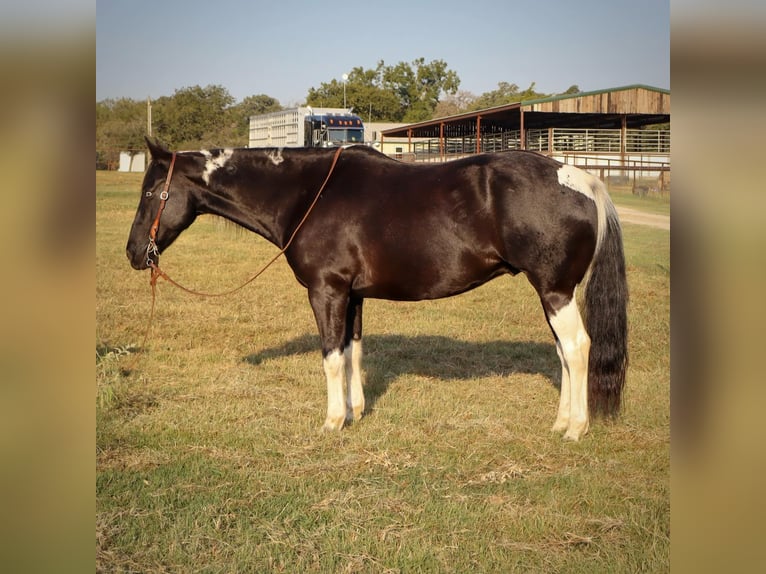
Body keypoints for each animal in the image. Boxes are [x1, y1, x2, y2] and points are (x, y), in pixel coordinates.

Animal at [126, 138, 628, 441]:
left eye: (151, 193)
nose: (134, 253)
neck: (309, 194)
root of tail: (583, 180)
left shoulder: (326, 292)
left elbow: (331, 357)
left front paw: (332, 421)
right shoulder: (353, 296)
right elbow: (353, 352)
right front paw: (356, 411)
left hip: (555, 291)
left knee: (577, 348)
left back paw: (575, 428)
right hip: (551, 294)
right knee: (562, 353)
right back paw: (560, 421)